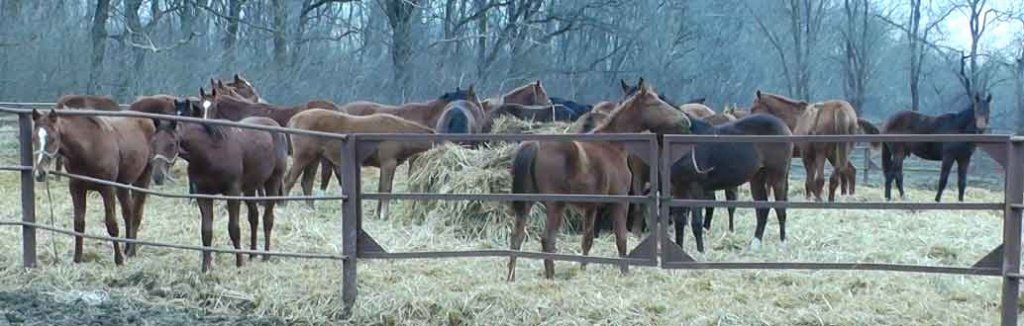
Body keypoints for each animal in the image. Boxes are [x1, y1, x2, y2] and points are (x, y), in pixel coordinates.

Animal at [32, 108, 154, 264]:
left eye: (53, 138)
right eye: (34, 138)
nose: (40, 173)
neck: (89, 148)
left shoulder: (107, 189)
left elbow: (111, 224)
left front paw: (118, 260)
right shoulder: (76, 188)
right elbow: (79, 223)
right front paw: (77, 259)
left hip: (143, 178)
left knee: (137, 213)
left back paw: (131, 251)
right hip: (122, 184)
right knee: (128, 213)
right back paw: (127, 248)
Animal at [148, 98, 286, 270]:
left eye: (172, 144)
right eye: (153, 142)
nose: (158, 176)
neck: (211, 152)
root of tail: (274, 126)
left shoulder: (233, 193)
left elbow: (234, 228)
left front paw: (239, 263)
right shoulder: (203, 195)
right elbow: (206, 231)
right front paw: (206, 267)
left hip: (273, 182)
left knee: (268, 218)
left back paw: (266, 255)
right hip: (250, 188)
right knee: (253, 217)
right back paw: (252, 254)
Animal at [284, 108, 436, 220]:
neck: (398, 131)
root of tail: (292, 120)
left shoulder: (384, 165)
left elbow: (380, 188)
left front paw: (377, 214)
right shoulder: (388, 163)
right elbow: (386, 189)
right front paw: (384, 215)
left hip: (314, 158)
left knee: (307, 182)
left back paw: (311, 209)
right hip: (303, 157)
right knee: (289, 180)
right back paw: (283, 207)